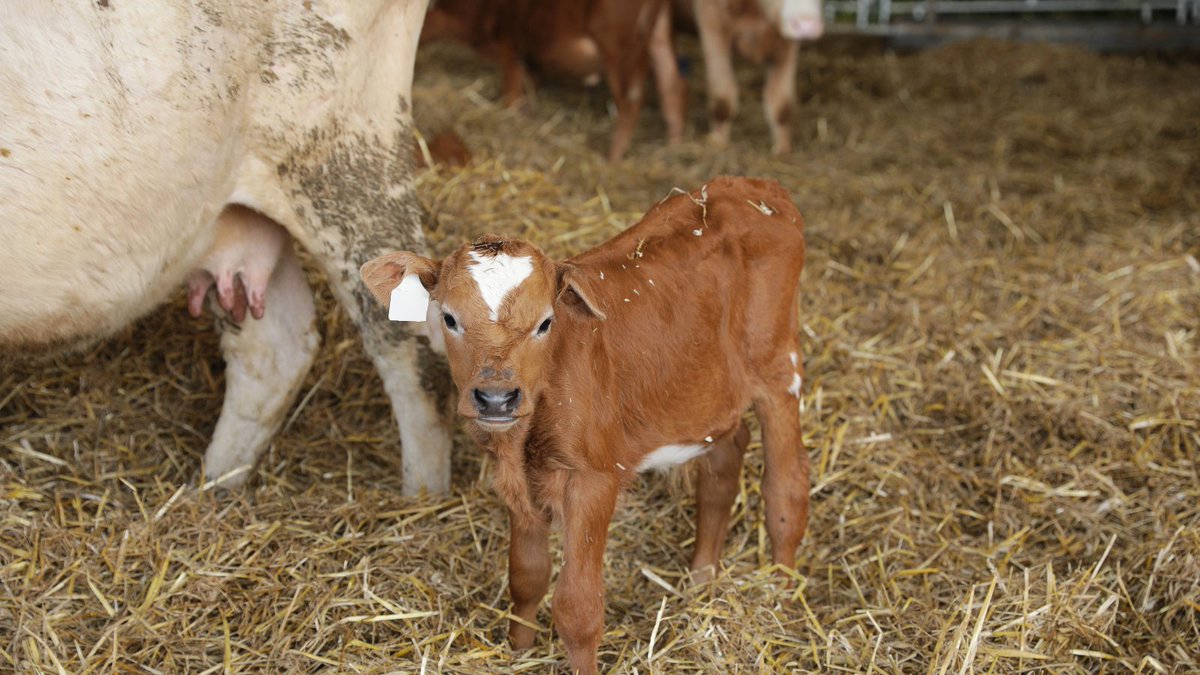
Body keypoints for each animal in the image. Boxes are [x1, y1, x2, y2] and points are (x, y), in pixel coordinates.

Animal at [1, 1, 451, 494]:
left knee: (411, 344)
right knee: (276, 348)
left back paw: (422, 497)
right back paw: (212, 488)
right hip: (237, 218)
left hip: (347, 156)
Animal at [360, 177, 811, 672]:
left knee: (786, 489)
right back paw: (701, 581)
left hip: (779, 365)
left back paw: (781, 599)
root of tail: (755, 187)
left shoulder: (594, 479)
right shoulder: (516, 479)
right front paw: (519, 651)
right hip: (710, 393)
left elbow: (577, 608)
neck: (527, 436)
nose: (496, 397)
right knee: (723, 463)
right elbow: (526, 577)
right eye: (449, 318)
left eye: (545, 323)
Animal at [422, 0, 686, 159]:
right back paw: (674, 146)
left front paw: (511, 116)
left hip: (618, 45)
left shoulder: (510, 45)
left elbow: (512, 91)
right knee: (671, 86)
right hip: (661, 33)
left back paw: (612, 157)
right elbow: (529, 88)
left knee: (632, 99)